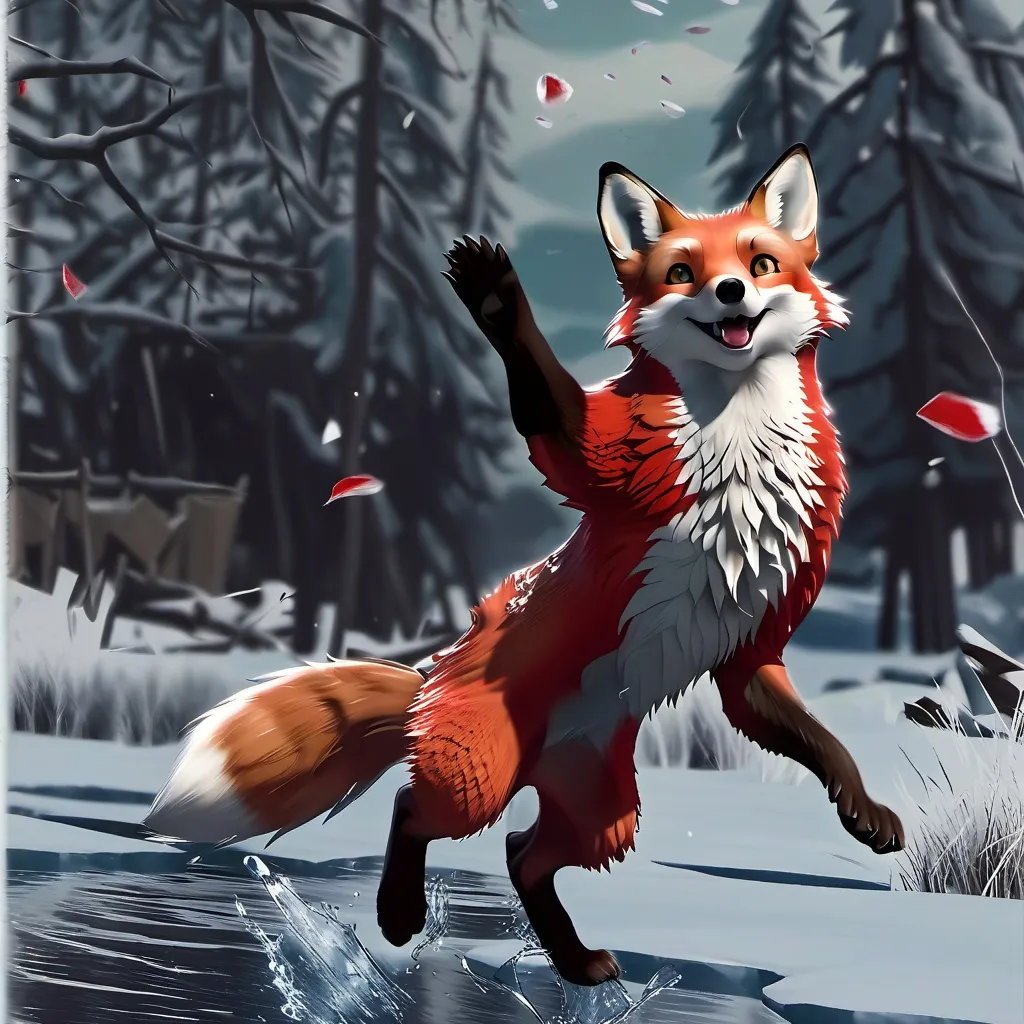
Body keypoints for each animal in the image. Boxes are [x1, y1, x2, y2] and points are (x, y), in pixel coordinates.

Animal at [144, 144, 905, 987]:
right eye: (682, 273)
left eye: (760, 262)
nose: (731, 290)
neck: (735, 442)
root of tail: (432, 674)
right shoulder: (606, 459)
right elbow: (552, 409)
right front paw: (495, 298)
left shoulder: (751, 652)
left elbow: (823, 743)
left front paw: (864, 812)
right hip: (478, 775)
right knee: (416, 812)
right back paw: (400, 915)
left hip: (603, 811)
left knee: (521, 855)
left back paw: (577, 962)